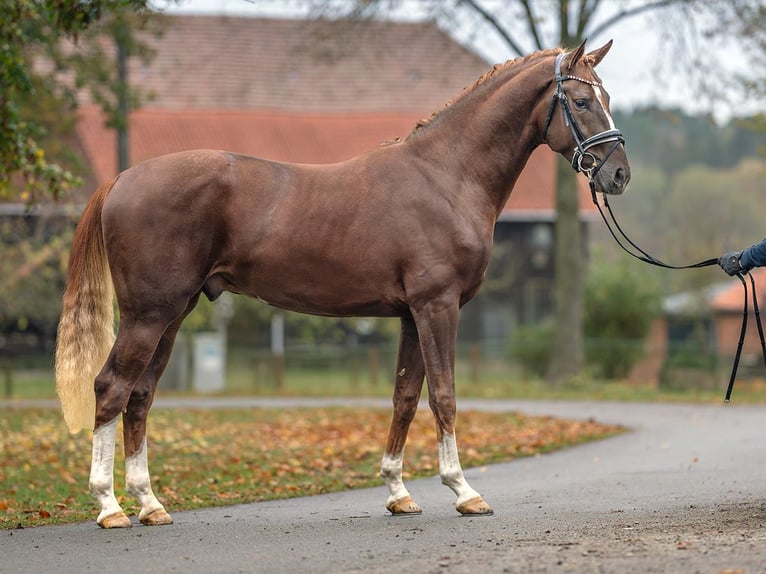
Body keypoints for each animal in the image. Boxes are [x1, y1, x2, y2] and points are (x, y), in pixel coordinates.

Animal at [54, 40, 632, 528]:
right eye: (582, 100)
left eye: (605, 97)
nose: (618, 175)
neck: (447, 175)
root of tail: (123, 179)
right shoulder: (437, 306)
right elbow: (443, 395)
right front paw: (464, 491)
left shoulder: (410, 314)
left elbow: (405, 396)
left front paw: (398, 492)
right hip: (148, 315)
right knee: (111, 388)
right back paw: (109, 507)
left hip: (173, 314)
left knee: (140, 395)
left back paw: (150, 504)